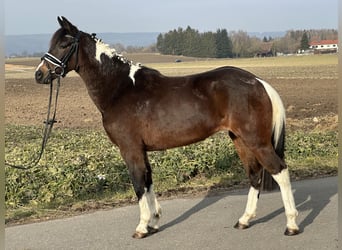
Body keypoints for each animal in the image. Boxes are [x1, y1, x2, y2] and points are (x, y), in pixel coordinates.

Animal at [33, 16, 298, 238]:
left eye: (65, 44)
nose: (39, 74)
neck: (121, 89)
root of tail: (258, 82)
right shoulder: (141, 150)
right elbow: (148, 181)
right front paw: (154, 221)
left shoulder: (130, 149)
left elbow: (138, 184)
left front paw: (142, 227)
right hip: (240, 140)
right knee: (254, 174)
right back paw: (244, 220)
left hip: (257, 141)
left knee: (280, 171)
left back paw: (292, 225)